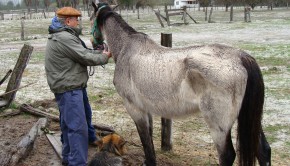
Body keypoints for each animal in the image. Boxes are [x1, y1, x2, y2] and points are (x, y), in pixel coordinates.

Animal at [91, 2, 272, 166]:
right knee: (263, 151)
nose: (94, 44)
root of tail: (241, 58)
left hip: (218, 126)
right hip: (248, 120)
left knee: (227, 156)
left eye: (92, 17)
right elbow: (149, 139)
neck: (126, 48)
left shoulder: (135, 109)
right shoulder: (145, 108)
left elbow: (146, 141)